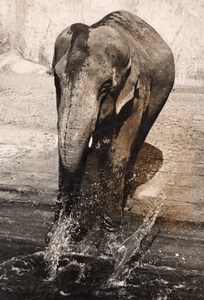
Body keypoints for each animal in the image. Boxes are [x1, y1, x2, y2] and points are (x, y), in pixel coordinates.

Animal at [47, 10, 174, 243]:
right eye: (57, 79)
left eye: (106, 86)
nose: (59, 234)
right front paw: (58, 236)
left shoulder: (138, 94)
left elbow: (116, 155)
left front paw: (111, 246)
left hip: (159, 99)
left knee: (135, 144)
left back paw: (126, 202)